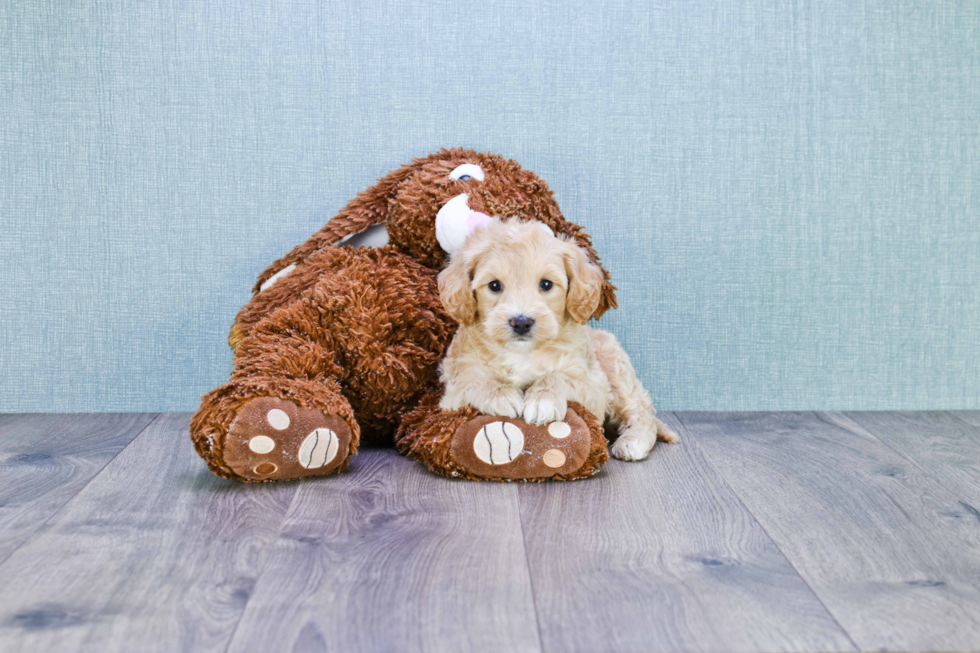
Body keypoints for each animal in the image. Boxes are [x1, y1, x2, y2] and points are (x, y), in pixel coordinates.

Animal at [440, 218, 676, 458]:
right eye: (494, 285)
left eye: (546, 284)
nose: (521, 322)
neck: (523, 352)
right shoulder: (453, 392)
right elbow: (475, 383)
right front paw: (502, 395)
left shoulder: (594, 385)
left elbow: (559, 377)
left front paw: (543, 398)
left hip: (615, 368)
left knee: (641, 410)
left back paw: (634, 441)